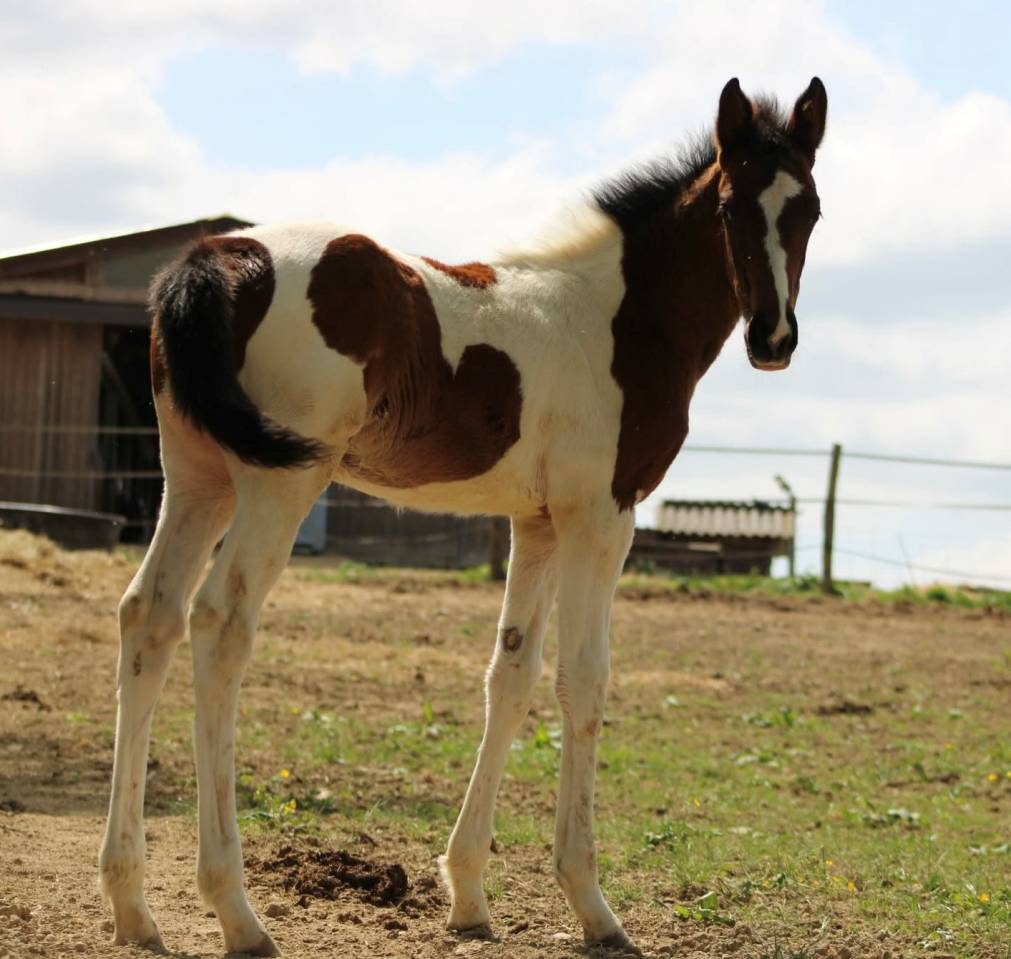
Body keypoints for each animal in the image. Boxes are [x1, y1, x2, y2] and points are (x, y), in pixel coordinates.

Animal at [99, 76, 827, 955]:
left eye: (809, 209)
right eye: (727, 208)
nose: (773, 338)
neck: (615, 319)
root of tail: (216, 257)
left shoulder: (537, 523)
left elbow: (510, 675)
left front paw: (469, 892)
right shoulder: (600, 513)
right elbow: (583, 679)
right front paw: (591, 903)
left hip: (197, 479)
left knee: (150, 615)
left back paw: (132, 905)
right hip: (277, 483)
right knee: (219, 624)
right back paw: (237, 910)